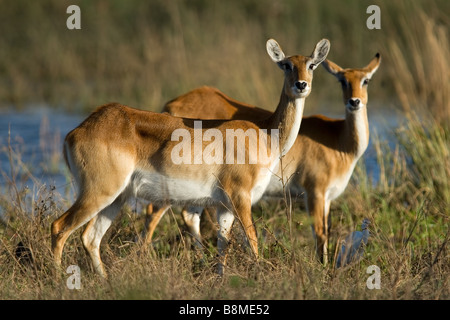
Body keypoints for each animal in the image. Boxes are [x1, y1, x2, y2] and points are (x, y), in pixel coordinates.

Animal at [51, 38, 330, 276]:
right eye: (286, 65)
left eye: (311, 65)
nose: (301, 85)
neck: (265, 135)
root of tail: (77, 131)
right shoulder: (241, 198)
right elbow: (252, 242)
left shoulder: (224, 206)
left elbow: (223, 246)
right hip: (99, 192)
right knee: (59, 227)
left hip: (117, 197)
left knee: (90, 237)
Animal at [143, 53, 380, 262]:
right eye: (342, 80)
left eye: (366, 80)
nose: (354, 101)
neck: (339, 141)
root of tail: (170, 106)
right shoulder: (315, 192)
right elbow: (320, 233)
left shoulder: (328, 198)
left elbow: (326, 231)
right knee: (154, 211)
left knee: (187, 214)